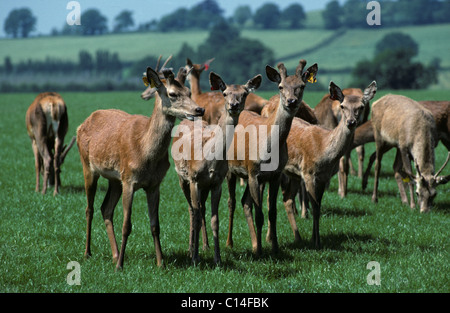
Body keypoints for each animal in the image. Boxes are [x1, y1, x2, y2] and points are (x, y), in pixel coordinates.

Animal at [76, 65, 205, 268]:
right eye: (172, 94)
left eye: (189, 91)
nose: (199, 109)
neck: (145, 153)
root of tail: (82, 124)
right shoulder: (129, 180)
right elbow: (127, 225)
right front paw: (120, 267)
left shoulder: (154, 184)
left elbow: (155, 225)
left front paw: (161, 263)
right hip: (87, 166)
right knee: (89, 209)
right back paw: (88, 253)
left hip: (115, 179)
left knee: (106, 208)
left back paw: (114, 254)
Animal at [173, 70, 264, 264]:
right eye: (225, 93)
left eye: (244, 93)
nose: (234, 105)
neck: (210, 159)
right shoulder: (194, 179)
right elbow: (196, 215)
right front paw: (195, 259)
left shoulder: (216, 183)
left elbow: (215, 220)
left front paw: (218, 259)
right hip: (181, 178)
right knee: (192, 210)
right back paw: (190, 249)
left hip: (204, 186)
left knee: (201, 209)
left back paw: (204, 246)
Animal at [227, 59, 318, 255]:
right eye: (281, 86)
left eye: (302, 86)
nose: (291, 101)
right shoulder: (254, 172)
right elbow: (260, 214)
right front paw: (262, 251)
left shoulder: (275, 175)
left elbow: (272, 212)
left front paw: (274, 248)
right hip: (231, 170)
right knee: (231, 202)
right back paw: (229, 243)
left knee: (245, 202)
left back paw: (254, 244)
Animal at [274, 81, 376, 247]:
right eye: (342, 106)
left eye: (361, 106)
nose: (351, 122)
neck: (324, 150)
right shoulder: (308, 172)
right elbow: (315, 206)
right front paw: (316, 242)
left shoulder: (323, 177)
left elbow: (319, 207)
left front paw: (315, 239)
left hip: (293, 174)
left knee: (287, 199)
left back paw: (298, 237)